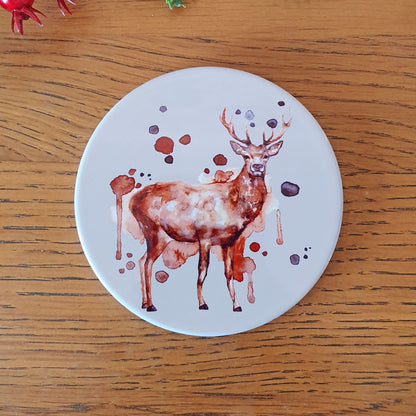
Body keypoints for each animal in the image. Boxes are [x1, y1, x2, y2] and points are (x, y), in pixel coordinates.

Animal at [129, 108, 292, 312]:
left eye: (266, 156)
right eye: (246, 156)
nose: (257, 166)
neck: (234, 207)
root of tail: (132, 201)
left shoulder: (229, 240)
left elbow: (229, 272)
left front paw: (236, 306)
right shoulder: (204, 235)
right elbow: (202, 271)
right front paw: (202, 303)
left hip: (155, 234)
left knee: (141, 260)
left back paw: (144, 302)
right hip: (153, 229)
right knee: (148, 263)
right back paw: (151, 305)